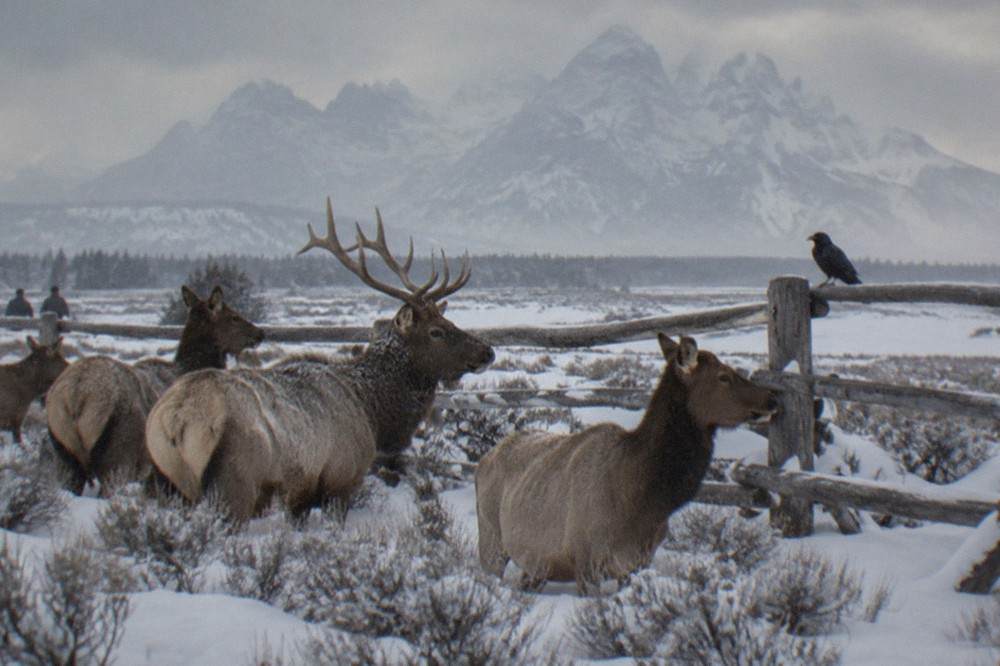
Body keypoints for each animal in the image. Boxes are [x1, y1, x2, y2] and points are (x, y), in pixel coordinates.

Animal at [46, 286, 264, 493]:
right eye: (234, 316)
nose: (260, 333)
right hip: (119, 457)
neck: (189, 366)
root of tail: (77, 394)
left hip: (64, 455)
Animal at [144, 198, 495, 521]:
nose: (487, 351)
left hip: (165, 484)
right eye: (437, 331)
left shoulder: (302, 496)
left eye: (449, 321)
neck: (372, 412)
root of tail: (176, 419)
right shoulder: (340, 480)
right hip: (234, 482)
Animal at [475, 333, 777, 594]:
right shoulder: (586, 562)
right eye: (723, 376)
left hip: (535, 566)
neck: (643, 501)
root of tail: (483, 460)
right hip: (491, 541)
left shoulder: (637, 564)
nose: (772, 398)